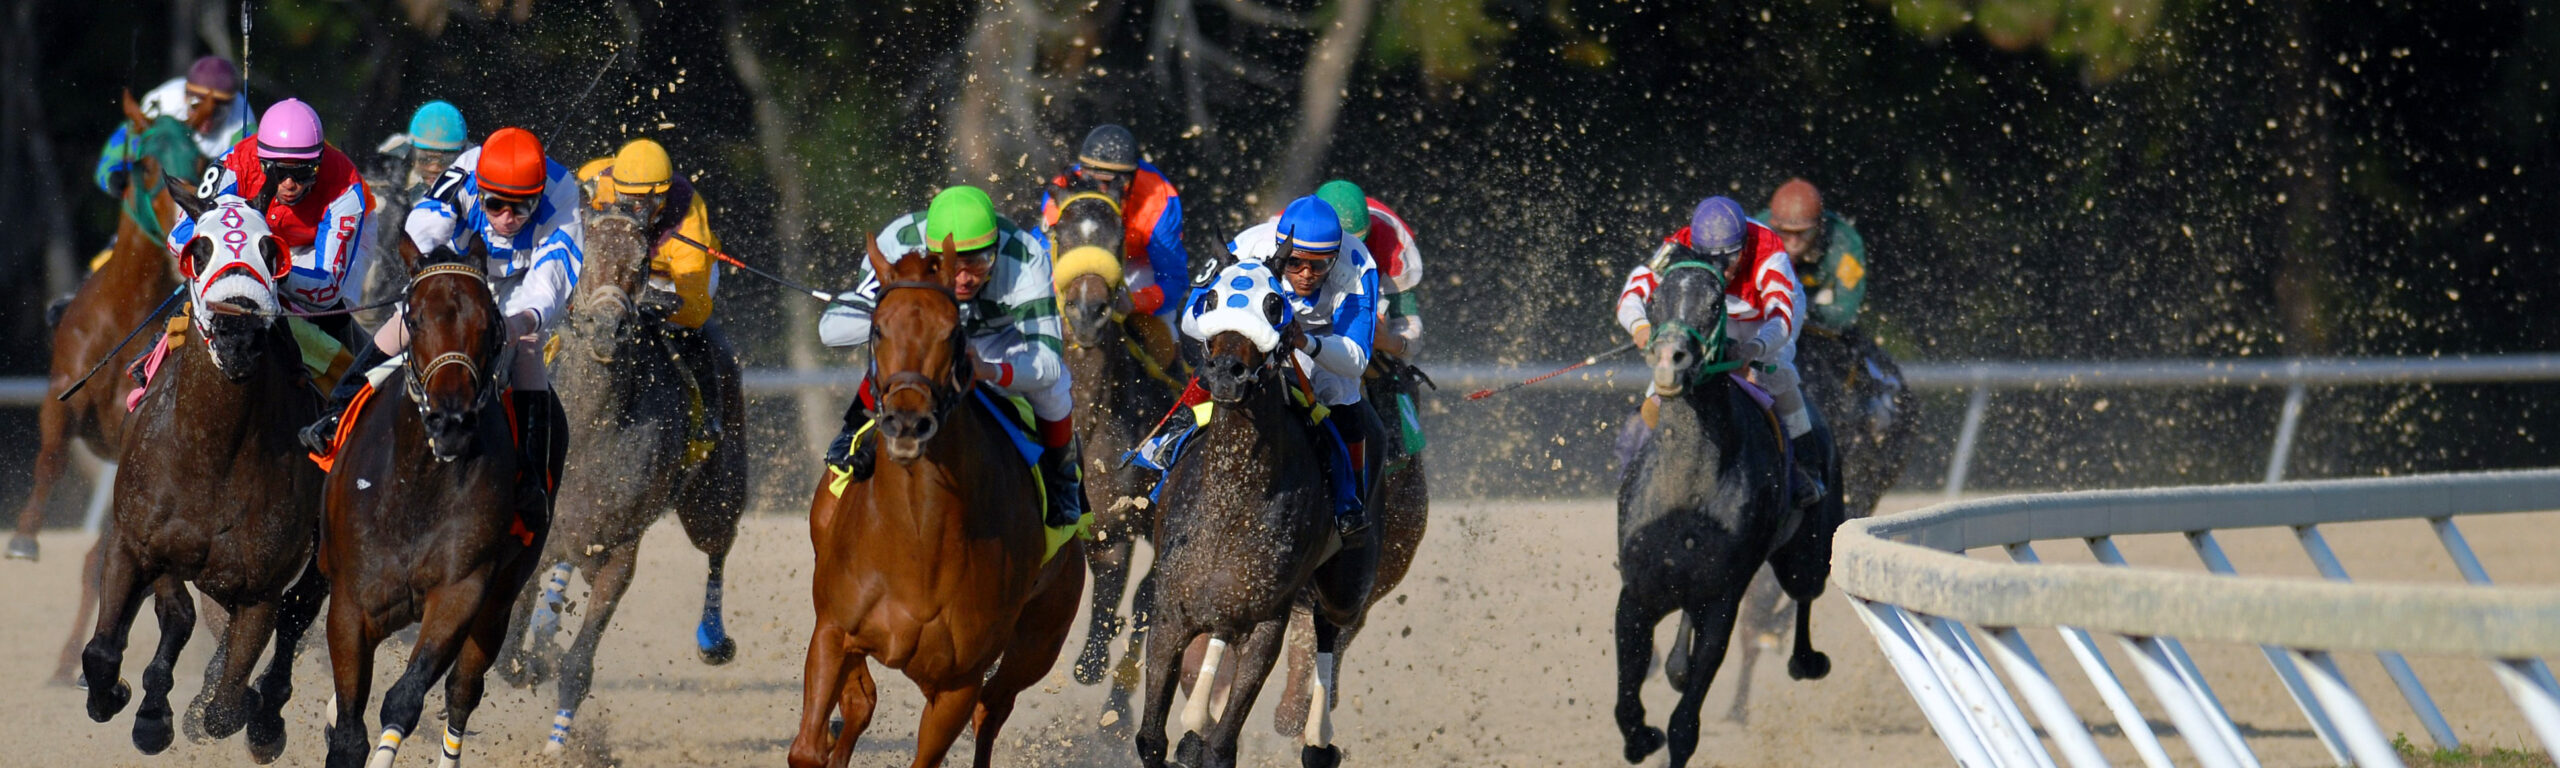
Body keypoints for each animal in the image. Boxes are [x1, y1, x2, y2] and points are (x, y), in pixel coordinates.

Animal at [78, 184, 325, 762]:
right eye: (201, 248)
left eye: (271, 249)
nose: (237, 331)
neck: (211, 454)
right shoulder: (134, 542)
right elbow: (103, 650)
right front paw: (123, 698)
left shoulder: (260, 586)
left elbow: (225, 708)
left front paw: (244, 712)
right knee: (180, 616)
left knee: (297, 613)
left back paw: (264, 715)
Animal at [316, 245, 555, 768]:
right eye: (415, 318)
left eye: (489, 323)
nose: (451, 421)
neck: (415, 484)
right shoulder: (350, 602)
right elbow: (348, 731)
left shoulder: (460, 589)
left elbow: (404, 699)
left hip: (501, 601)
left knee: (463, 690)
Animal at [788, 240, 1090, 768]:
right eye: (878, 328)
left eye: (953, 333)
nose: (908, 422)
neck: (916, 540)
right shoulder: (832, 631)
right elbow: (812, 743)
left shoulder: (956, 681)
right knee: (862, 702)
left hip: (1041, 637)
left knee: (993, 706)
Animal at [1044, 189, 1182, 691]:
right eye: (1061, 234)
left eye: (1118, 238)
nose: (1087, 311)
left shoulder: (1118, 524)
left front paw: (1095, 659)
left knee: (1148, 600)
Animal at [1607, 259, 1832, 768]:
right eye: (1655, 300)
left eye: (1714, 304)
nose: (1669, 359)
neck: (1689, 486)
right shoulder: (1638, 593)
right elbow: (1626, 702)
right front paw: (1640, 737)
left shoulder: (1721, 601)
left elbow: (1684, 725)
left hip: (1807, 553)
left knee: (1805, 593)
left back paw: (1805, 660)